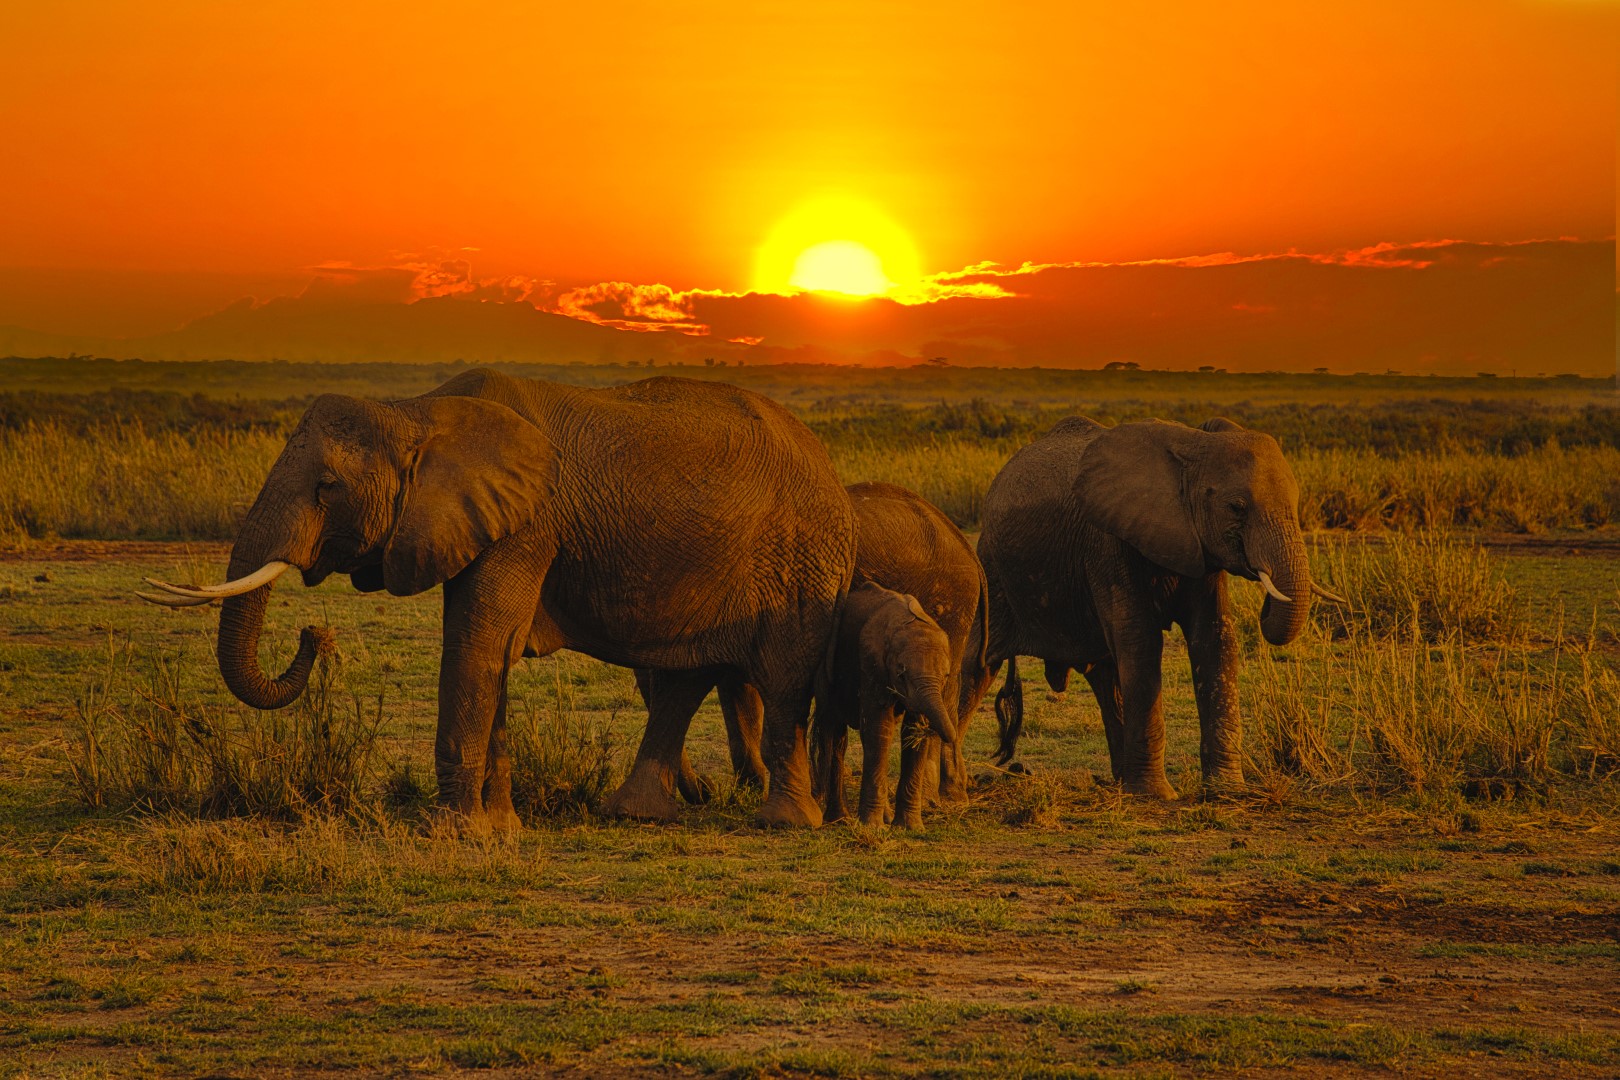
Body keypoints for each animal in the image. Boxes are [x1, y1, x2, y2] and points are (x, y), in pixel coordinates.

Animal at [139, 367, 856, 831]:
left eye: (327, 486)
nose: (314, 636)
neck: (418, 414)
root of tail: (828, 463)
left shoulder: (525, 523)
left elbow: (477, 643)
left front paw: (455, 833)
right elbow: (493, 650)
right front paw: (502, 828)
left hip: (801, 562)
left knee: (781, 679)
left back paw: (787, 825)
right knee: (686, 677)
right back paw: (636, 815)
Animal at [814, 581, 958, 828]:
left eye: (946, 676)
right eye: (901, 674)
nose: (951, 736)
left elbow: (912, 732)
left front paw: (910, 827)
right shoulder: (871, 664)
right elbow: (879, 729)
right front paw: (872, 826)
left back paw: (886, 816)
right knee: (835, 735)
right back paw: (840, 819)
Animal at [978, 416, 1335, 799]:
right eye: (1236, 508)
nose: (1264, 584)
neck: (1190, 448)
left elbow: (1214, 638)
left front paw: (1227, 789)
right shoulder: (1109, 542)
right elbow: (1140, 641)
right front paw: (1156, 796)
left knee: (1104, 677)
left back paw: (1121, 781)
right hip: (991, 572)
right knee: (977, 667)